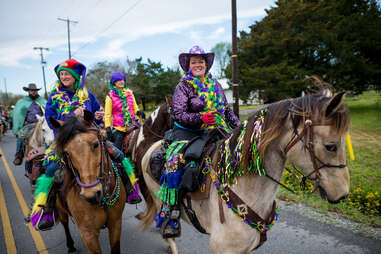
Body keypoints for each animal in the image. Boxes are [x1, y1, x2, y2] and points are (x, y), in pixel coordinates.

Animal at [48, 111, 126, 254]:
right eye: (67, 152)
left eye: (95, 144)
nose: (91, 195)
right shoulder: (88, 234)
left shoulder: (116, 223)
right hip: (61, 209)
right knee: (65, 223)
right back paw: (71, 246)